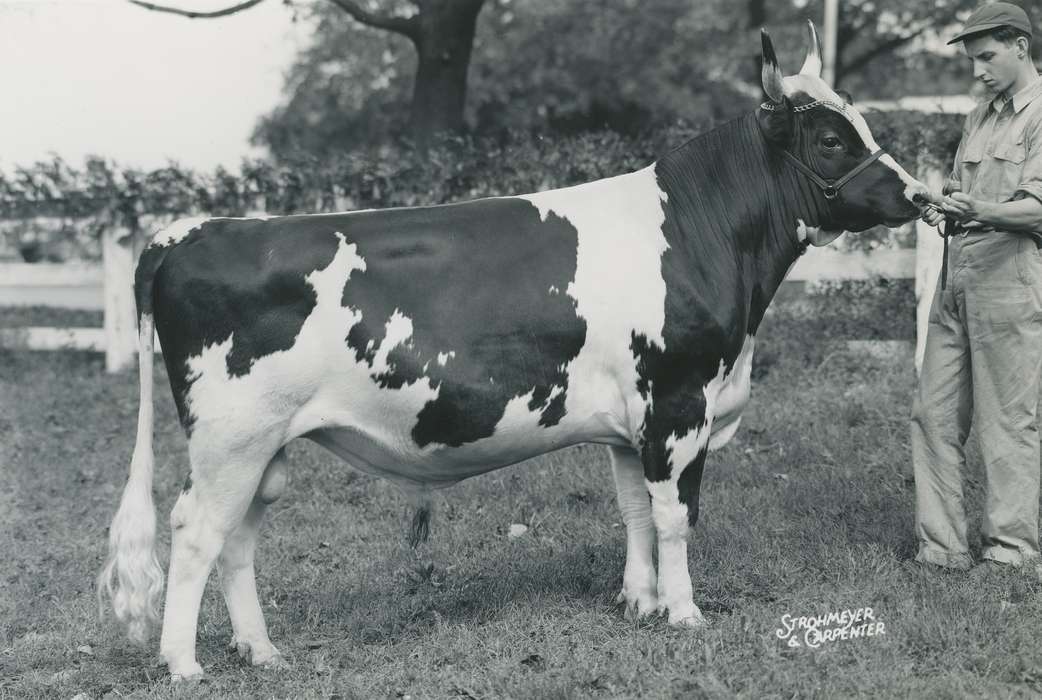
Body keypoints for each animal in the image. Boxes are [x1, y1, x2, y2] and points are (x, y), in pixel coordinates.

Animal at [99, 24, 930, 680]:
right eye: (832, 139)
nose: (921, 196)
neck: (702, 234)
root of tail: (189, 232)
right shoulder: (678, 403)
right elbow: (673, 516)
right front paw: (685, 613)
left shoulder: (631, 420)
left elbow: (632, 509)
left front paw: (639, 601)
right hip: (231, 437)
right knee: (196, 531)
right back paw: (183, 663)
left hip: (264, 446)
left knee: (238, 537)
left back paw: (261, 651)